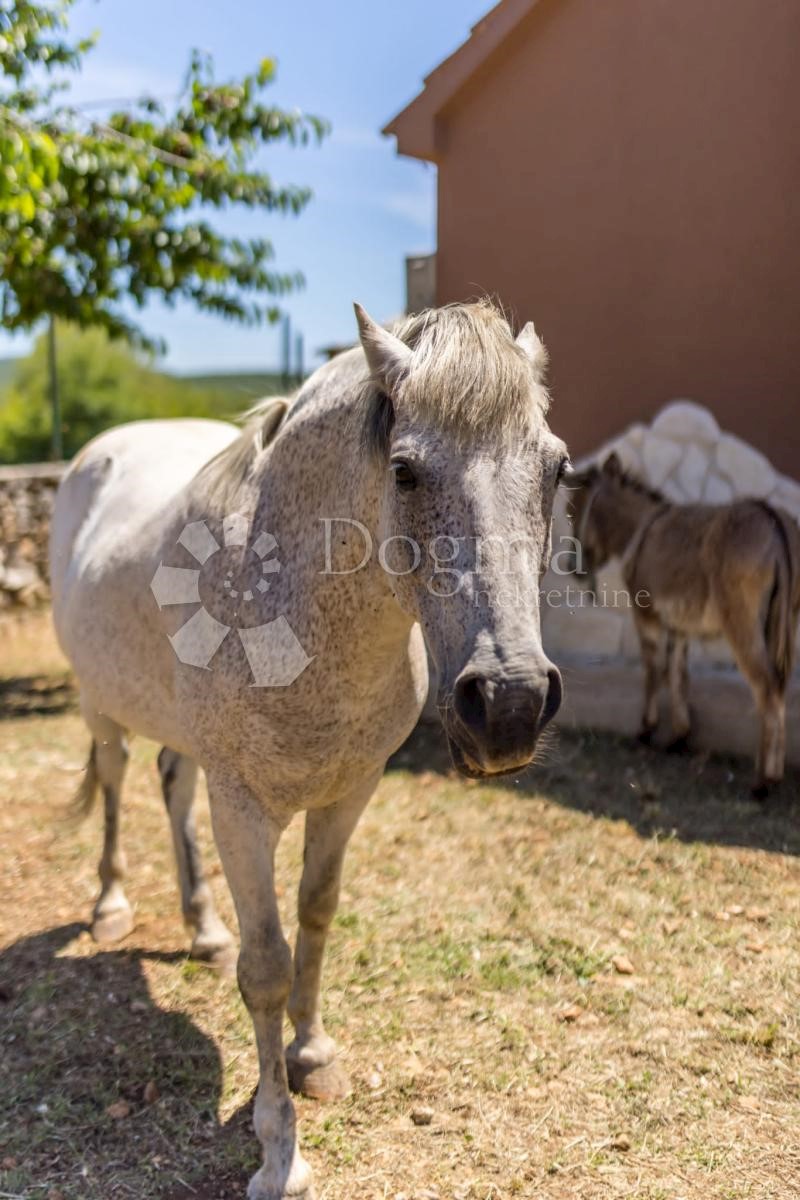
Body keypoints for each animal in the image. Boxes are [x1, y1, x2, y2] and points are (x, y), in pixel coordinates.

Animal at [50, 302, 568, 1200]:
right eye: (405, 473)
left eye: (557, 470)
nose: (509, 704)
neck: (286, 608)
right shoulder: (242, 807)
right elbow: (266, 967)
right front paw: (279, 1151)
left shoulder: (350, 792)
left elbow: (317, 916)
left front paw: (313, 1054)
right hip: (100, 705)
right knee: (115, 782)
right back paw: (111, 905)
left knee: (170, 787)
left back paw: (202, 928)